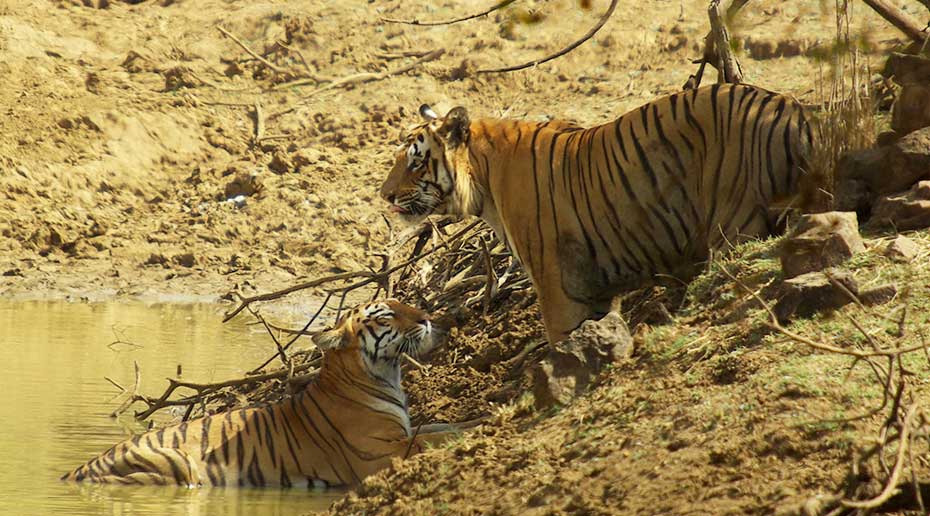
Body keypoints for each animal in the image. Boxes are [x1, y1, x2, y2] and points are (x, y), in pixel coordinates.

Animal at [61, 298, 474, 488]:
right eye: (387, 316)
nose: (427, 318)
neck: (385, 375)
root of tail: (78, 469)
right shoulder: (382, 453)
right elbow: (435, 440)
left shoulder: (407, 430)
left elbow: (445, 426)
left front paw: (481, 418)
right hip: (175, 466)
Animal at [378, 83, 812, 342]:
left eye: (415, 162)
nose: (385, 195)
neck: (483, 177)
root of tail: (794, 111)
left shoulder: (557, 284)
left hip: (734, 222)